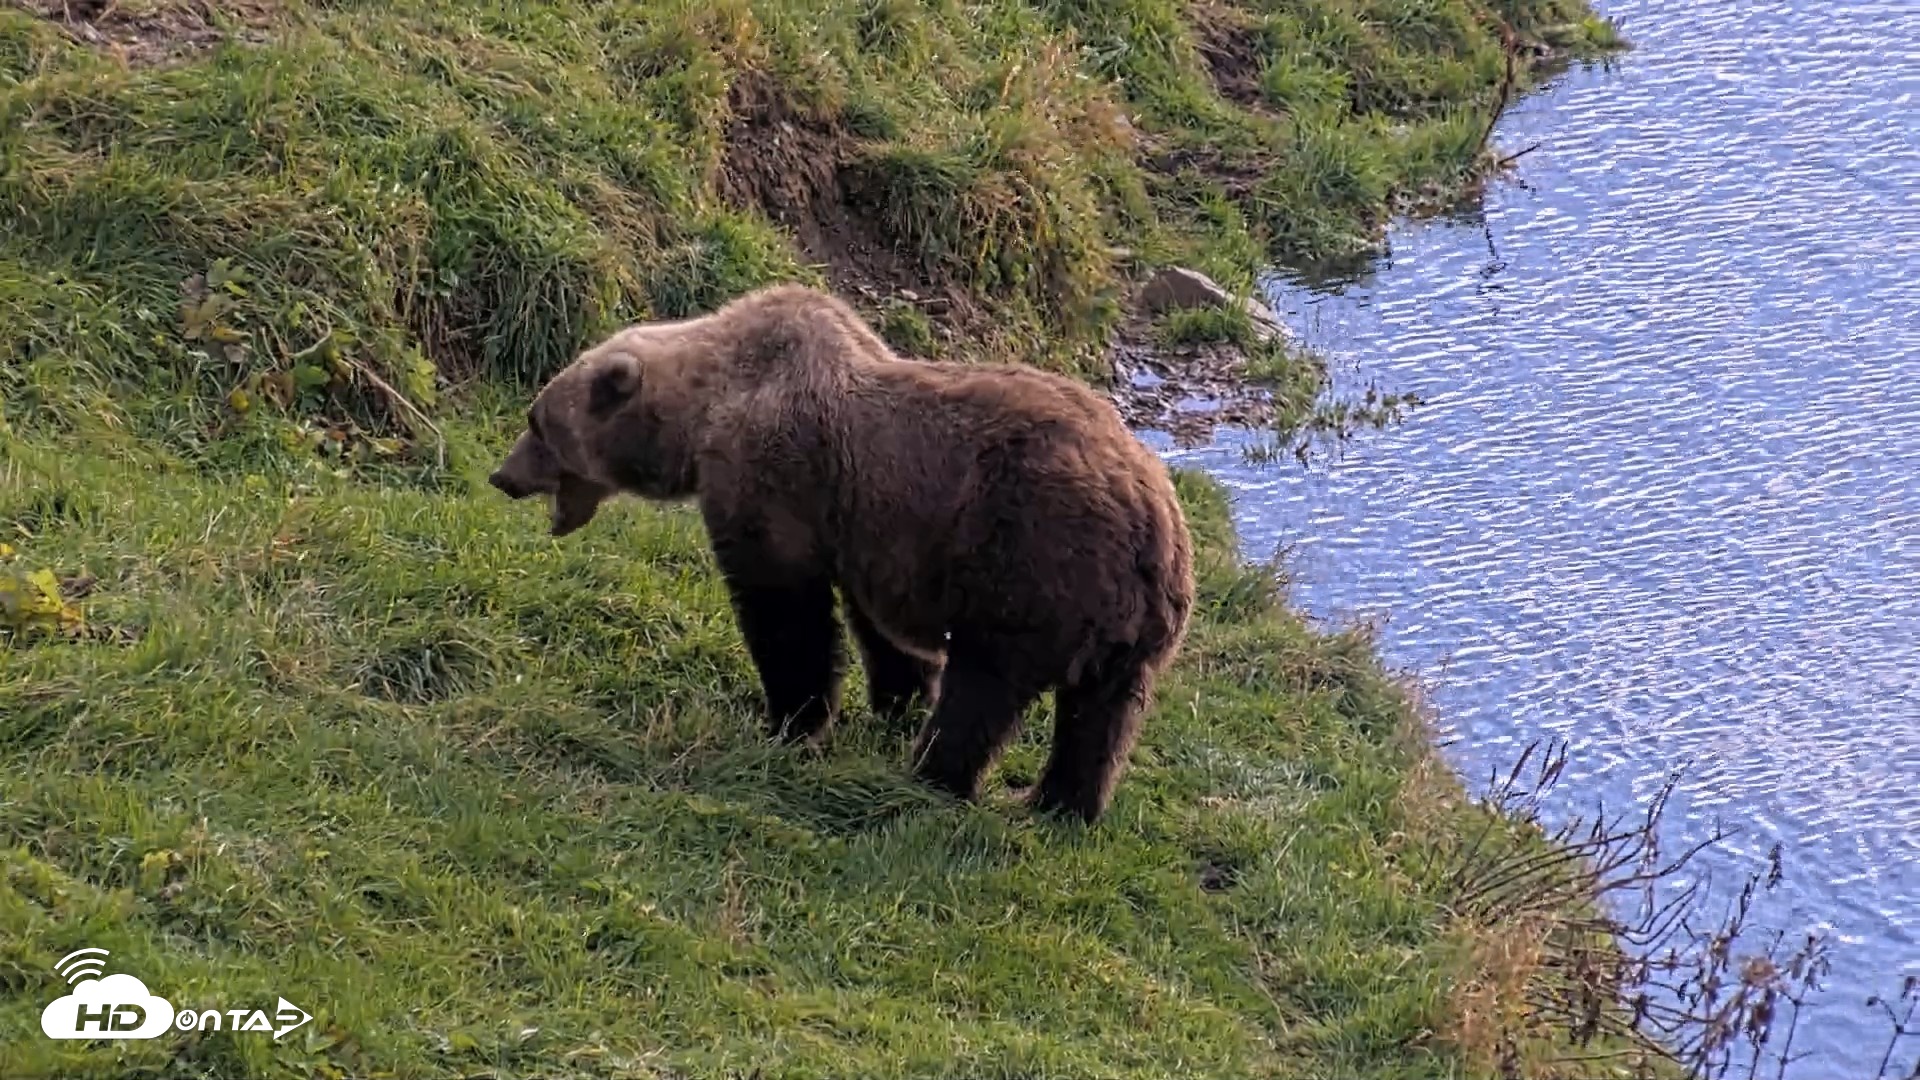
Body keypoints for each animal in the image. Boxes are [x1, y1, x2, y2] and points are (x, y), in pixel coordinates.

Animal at [488, 284, 1195, 824]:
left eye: (536, 422)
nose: (502, 476)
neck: (706, 415)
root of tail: (1152, 527)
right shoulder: (869, 532)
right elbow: (880, 632)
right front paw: (893, 700)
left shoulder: (779, 485)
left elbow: (786, 616)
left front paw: (790, 721)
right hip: (1132, 633)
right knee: (1101, 719)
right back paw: (1059, 805)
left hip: (1031, 567)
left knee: (984, 691)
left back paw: (935, 777)